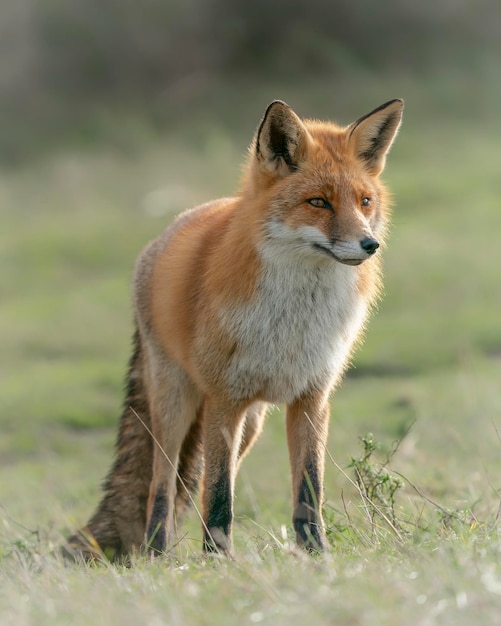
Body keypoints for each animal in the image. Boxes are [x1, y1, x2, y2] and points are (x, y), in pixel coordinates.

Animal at [66, 98, 402, 560]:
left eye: (365, 201)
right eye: (318, 202)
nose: (370, 244)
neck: (293, 322)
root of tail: (169, 229)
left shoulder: (312, 397)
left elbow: (307, 488)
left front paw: (316, 553)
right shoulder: (225, 399)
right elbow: (219, 491)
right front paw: (217, 560)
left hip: (251, 423)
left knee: (200, 480)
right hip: (177, 404)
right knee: (163, 483)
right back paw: (157, 552)